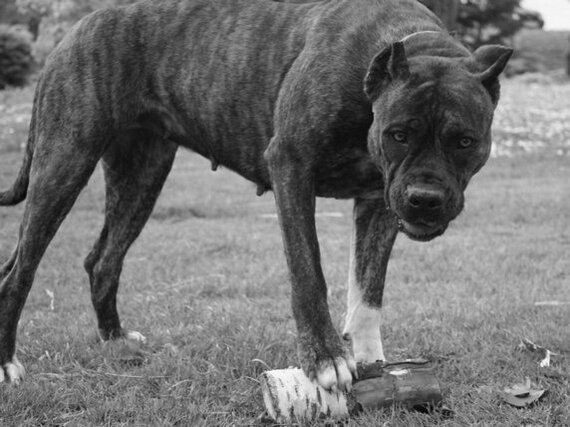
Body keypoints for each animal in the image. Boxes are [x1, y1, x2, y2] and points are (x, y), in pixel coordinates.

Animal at [0, 0, 510, 390]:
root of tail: (77, 28)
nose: (425, 197)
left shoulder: (379, 201)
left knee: (103, 259)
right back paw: (7, 363)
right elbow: (308, 274)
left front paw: (369, 359)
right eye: (398, 134)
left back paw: (114, 338)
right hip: (65, 162)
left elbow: (368, 289)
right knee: (20, 271)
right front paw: (325, 358)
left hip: (140, 176)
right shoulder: (292, 168)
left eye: (464, 141)